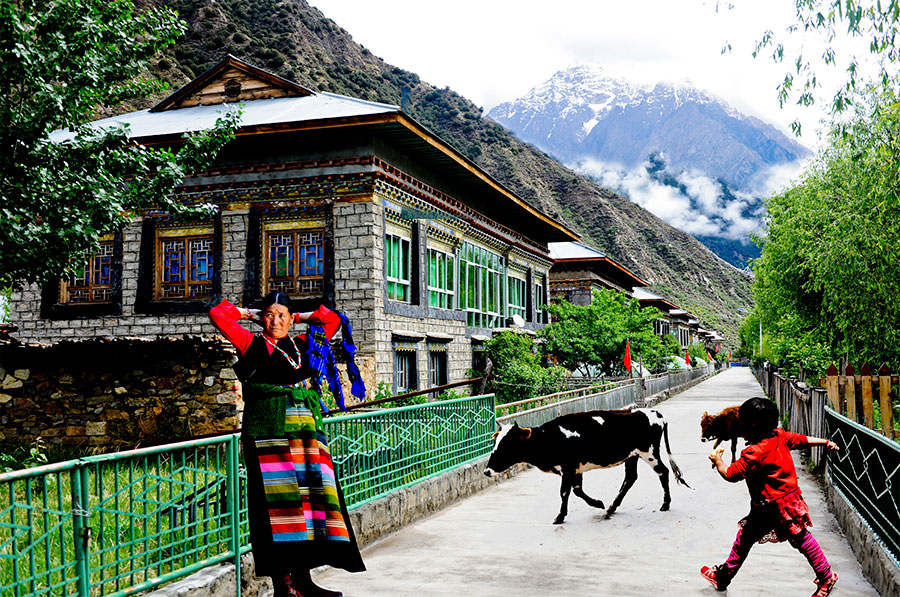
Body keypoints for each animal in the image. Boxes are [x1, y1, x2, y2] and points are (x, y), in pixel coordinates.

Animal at [486, 408, 688, 524]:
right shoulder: (575, 469)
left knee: (663, 472)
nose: (487, 471)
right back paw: (611, 507)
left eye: (507, 445)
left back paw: (665, 504)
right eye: (495, 442)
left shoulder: (568, 468)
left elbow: (565, 492)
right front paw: (597, 503)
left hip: (649, 453)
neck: (549, 438)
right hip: (633, 456)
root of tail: (656, 413)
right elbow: (577, 490)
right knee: (630, 478)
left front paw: (560, 517)